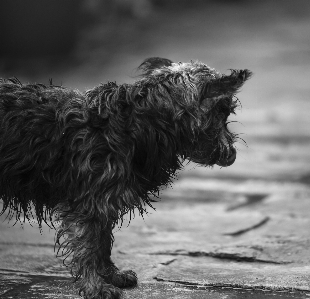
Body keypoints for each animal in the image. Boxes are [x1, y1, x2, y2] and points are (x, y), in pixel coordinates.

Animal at [0, 57, 252, 298]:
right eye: (223, 113)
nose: (232, 153)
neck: (138, 124)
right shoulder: (89, 205)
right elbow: (89, 248)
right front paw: (95, 286)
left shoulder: (102, 204)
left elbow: (102, 244)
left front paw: (111, 275)